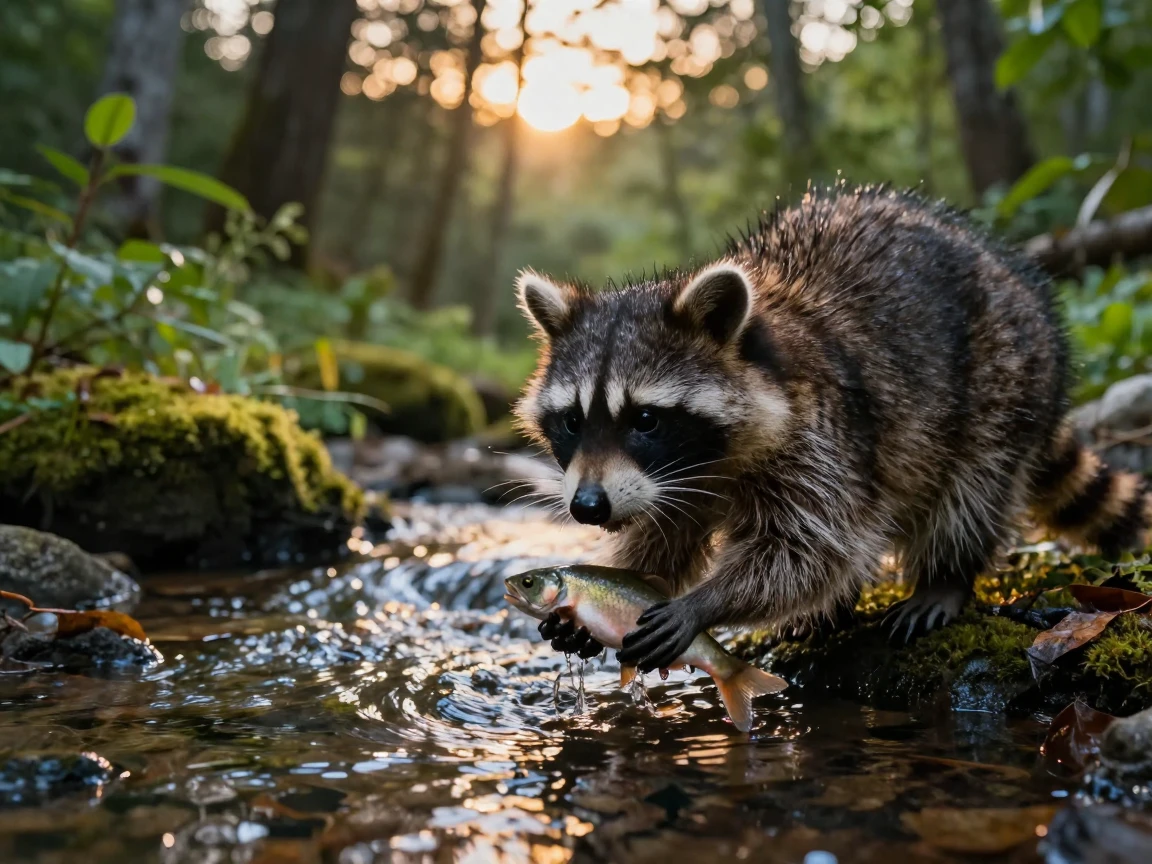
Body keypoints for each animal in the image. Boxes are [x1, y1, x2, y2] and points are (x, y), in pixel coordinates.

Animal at [513, 186, 1152, 674]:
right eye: (572, 421)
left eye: (645, 419)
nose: (588, 506)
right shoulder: (668, 483)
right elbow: (661, 541)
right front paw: (609, 589)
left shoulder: (822, 437)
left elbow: (812, 546)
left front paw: (706, 601)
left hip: (1006, 374)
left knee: (971, 487)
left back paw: (944, 576)